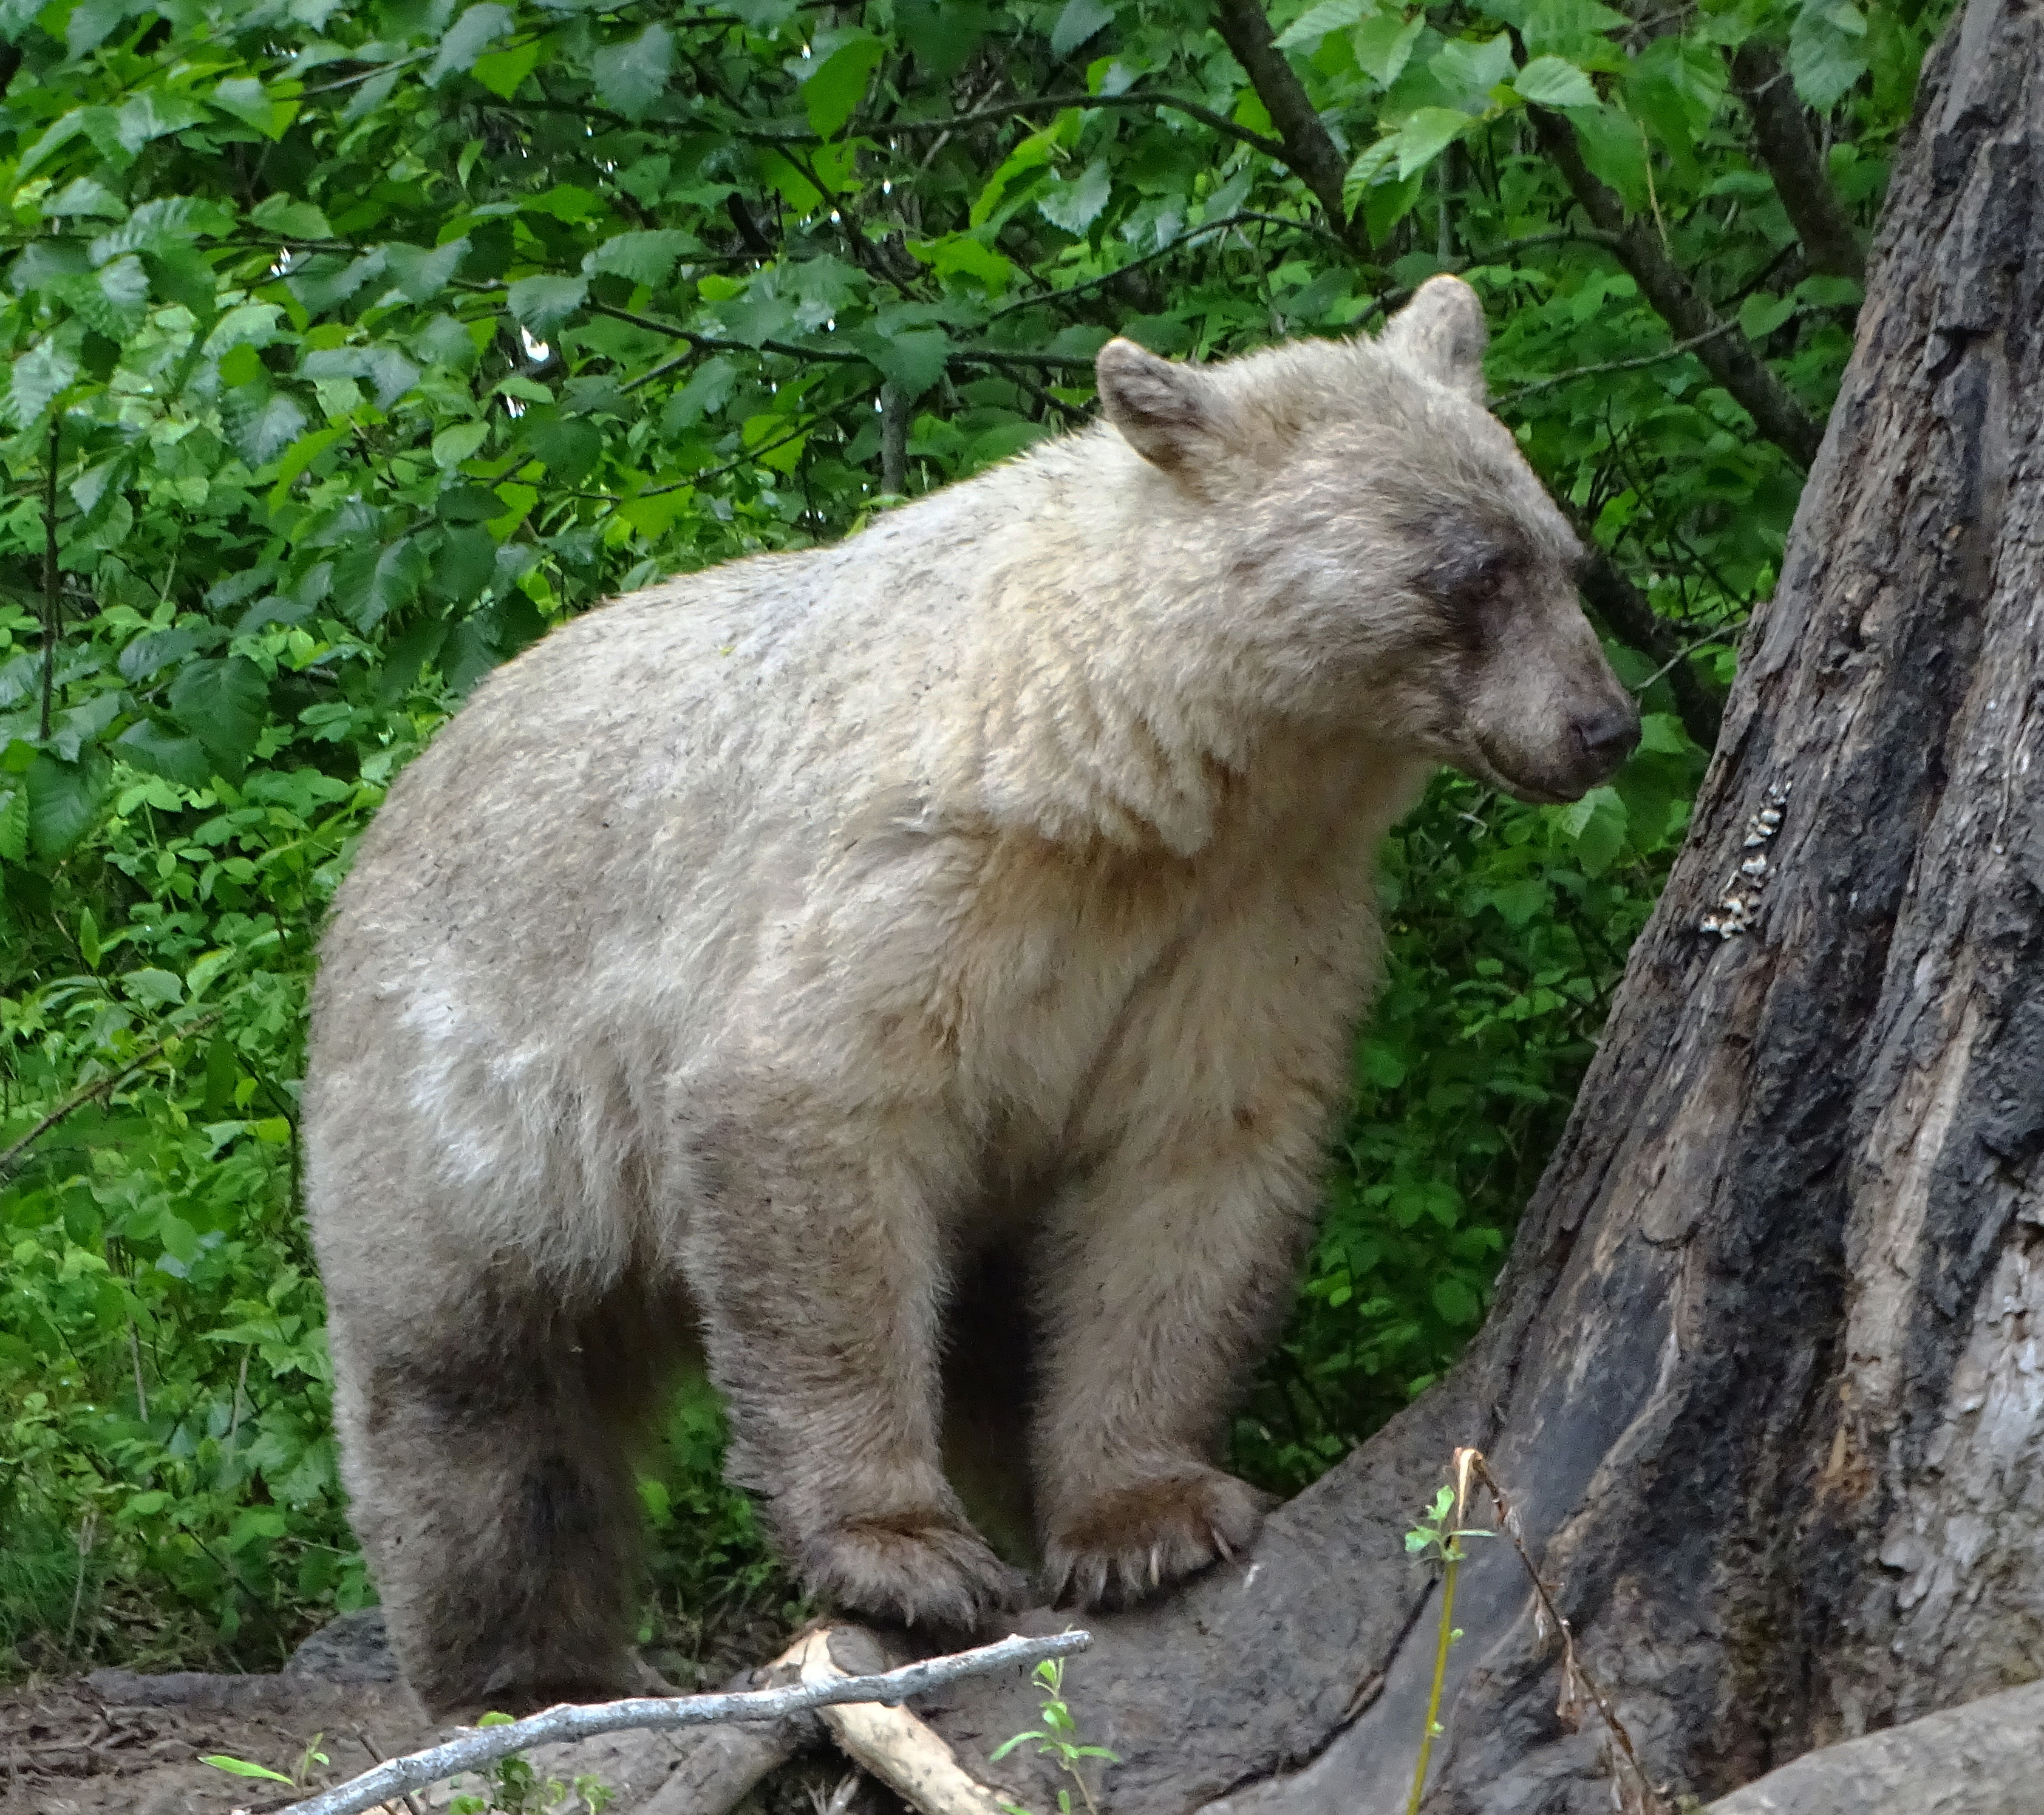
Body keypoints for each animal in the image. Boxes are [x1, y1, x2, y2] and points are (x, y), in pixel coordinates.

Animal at [302, 275, 1639, 1717]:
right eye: (1475, 571)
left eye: (1565, 555)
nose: (1605, 726)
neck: (1138, 774)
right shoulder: (926, 879)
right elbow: (813, 1115)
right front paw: (906, 1552)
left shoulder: (1249, 921)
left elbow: (1190, 1169)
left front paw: (1147, 1517)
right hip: (457, 1107)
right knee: (477, 1390)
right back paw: (521, 1666)